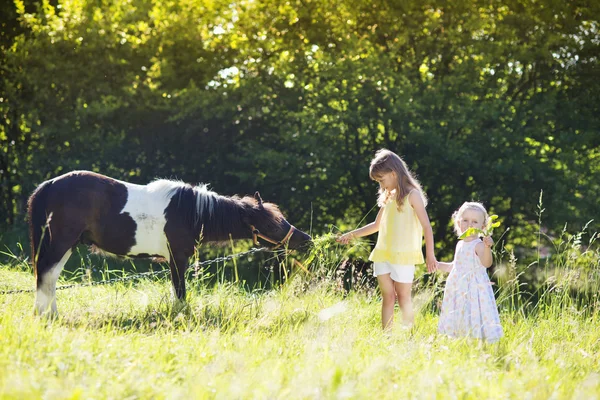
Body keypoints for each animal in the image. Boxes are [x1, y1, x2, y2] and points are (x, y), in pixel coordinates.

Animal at [27, 170, 314, 314]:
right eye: (271, 224)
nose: (306, 240)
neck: (191, 212)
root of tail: (49, 184)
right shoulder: (177, 258)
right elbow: (180, 291)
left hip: (66, 245)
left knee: (49, 278)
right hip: (60, 243)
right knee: (46, 276)